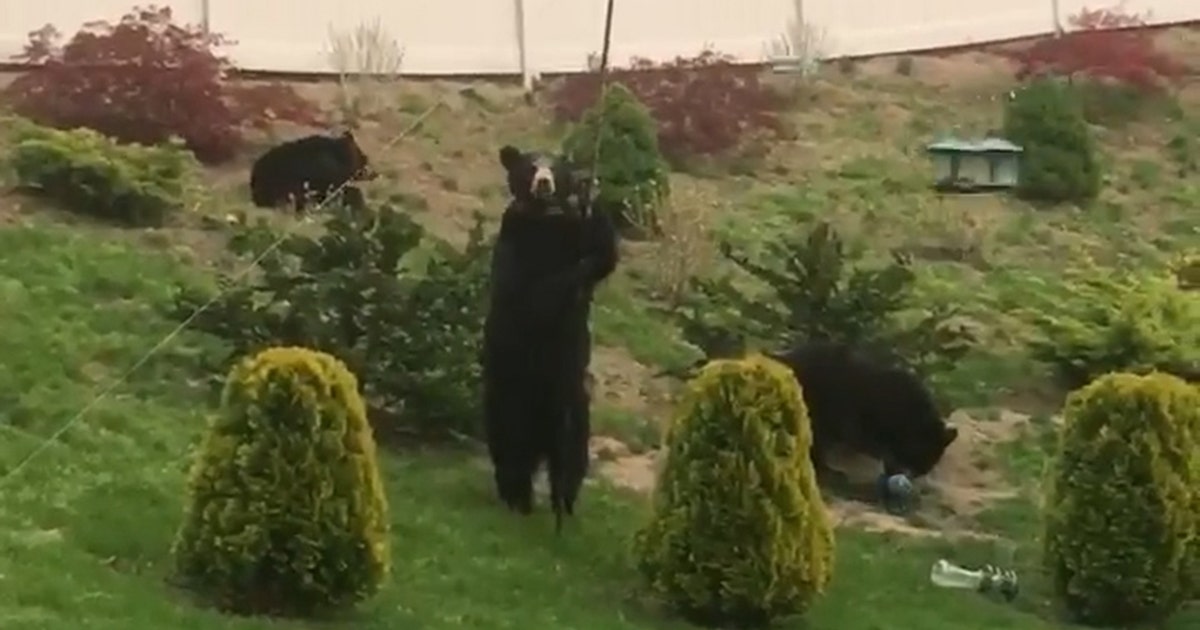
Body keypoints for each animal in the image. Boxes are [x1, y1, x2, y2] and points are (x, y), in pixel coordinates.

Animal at [481, 144, 618, 532]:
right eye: (531, 166)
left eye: (557, 168)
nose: (544, 182)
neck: (546, 221)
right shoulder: (515, 241)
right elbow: (525, 289)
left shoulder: (573, 235)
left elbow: (603, 253)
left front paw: (591, 192)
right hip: (507, 393)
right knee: (509, 446)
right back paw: (517, 499)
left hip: (573, 401)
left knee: (571, 453)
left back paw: (563, 502)